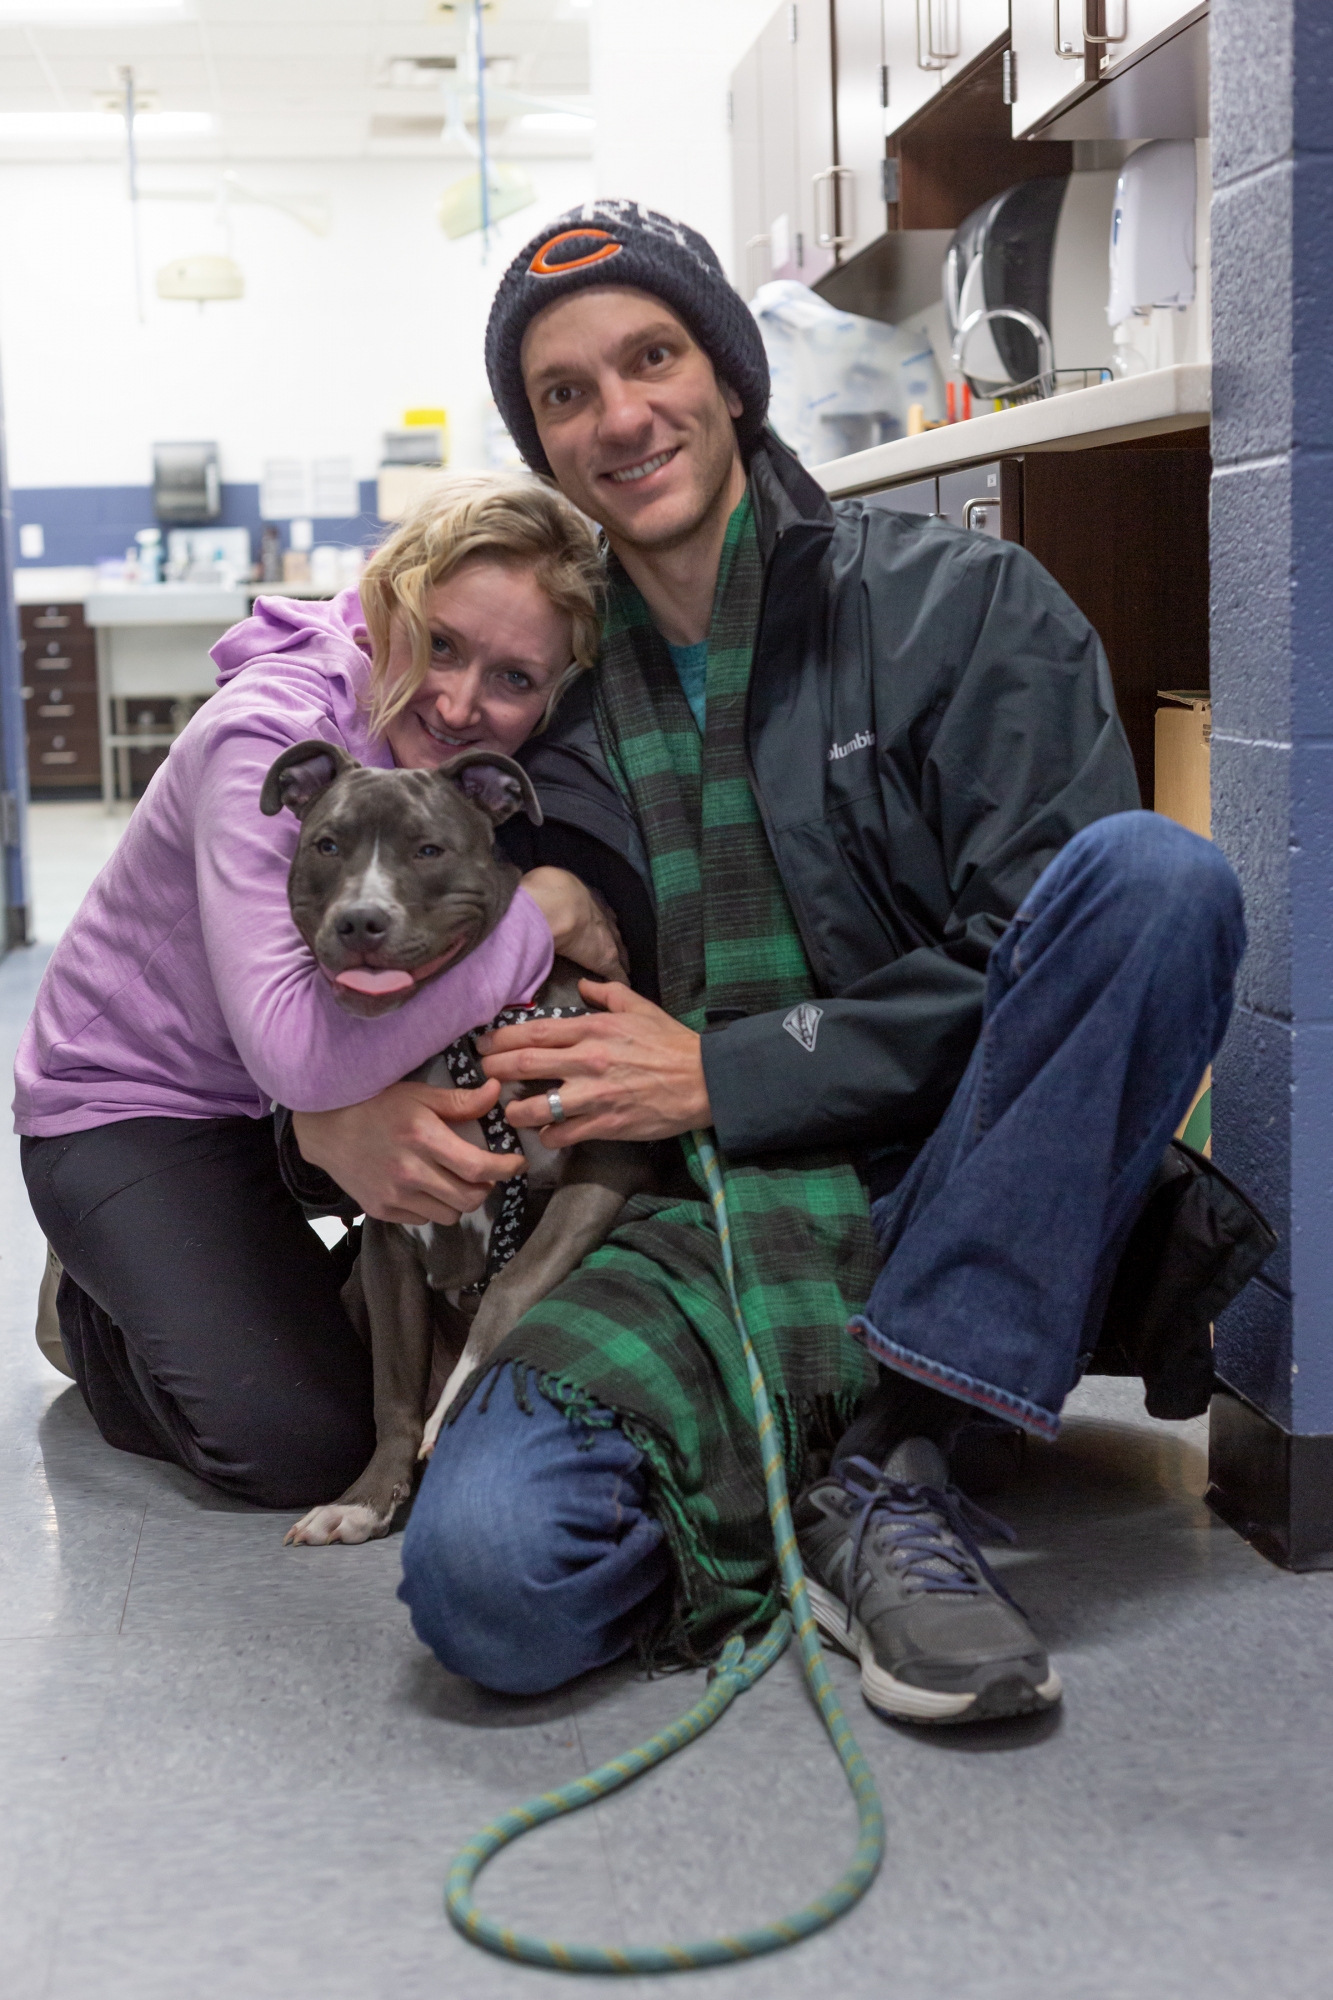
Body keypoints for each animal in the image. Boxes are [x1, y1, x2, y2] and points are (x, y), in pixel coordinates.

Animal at [256, 748, 652, 1544]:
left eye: (428, 850)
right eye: (327, 845)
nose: (361, 920)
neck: (454, 1037)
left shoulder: (605, 1164)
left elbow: (512, 1282)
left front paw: (460, 1394)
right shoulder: (388, 1237)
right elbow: (392, 1391)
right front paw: (364, 1499)